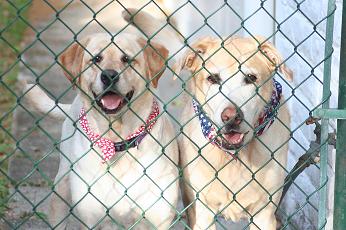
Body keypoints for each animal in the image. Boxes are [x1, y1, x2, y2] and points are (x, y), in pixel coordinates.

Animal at [23, 33, 178, 229]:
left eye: (126, 59)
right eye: (96, 59)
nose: (109, 75)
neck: (117, 140)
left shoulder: (158, 217)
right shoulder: (92, 217)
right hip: (61, 188)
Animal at [123, 9, 294, 230]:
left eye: (251, 78)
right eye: (213, 78)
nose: (231, 117)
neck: (234, 158)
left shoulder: (264, 214)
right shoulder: (202, 211)